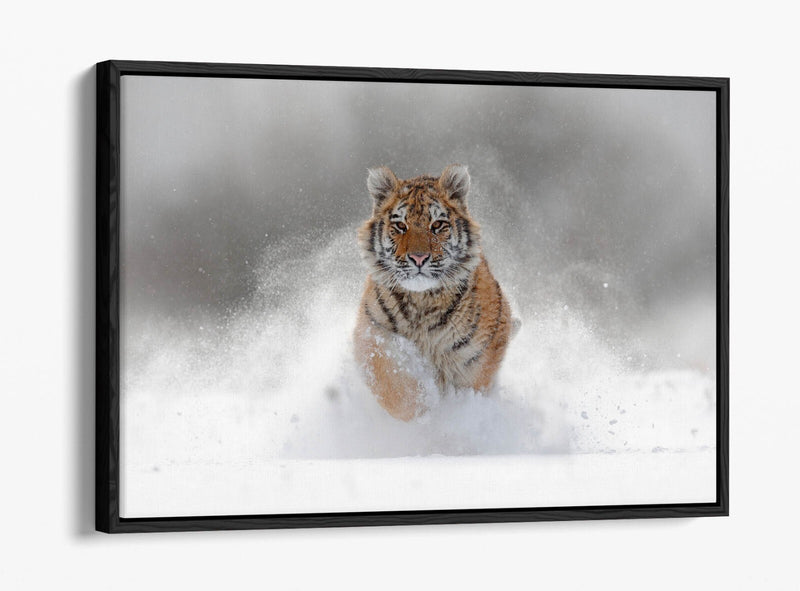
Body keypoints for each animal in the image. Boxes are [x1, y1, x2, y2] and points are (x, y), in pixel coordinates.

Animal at [353, 164, 516, 421]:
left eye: (437, 225)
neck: (422, 302)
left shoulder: (478, 355)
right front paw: (424, 411)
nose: (418, 258)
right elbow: (395, 388)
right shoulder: (372, 334)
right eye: (401, 226)